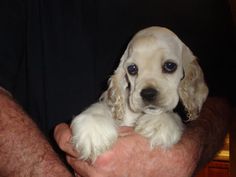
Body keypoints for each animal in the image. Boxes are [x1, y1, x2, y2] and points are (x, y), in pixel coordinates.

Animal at [70, 26, 208, 162]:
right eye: (132, 69)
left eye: (170, 66)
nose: (148, 94)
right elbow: (102, 107)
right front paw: (93, 130)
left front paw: (158, 123)